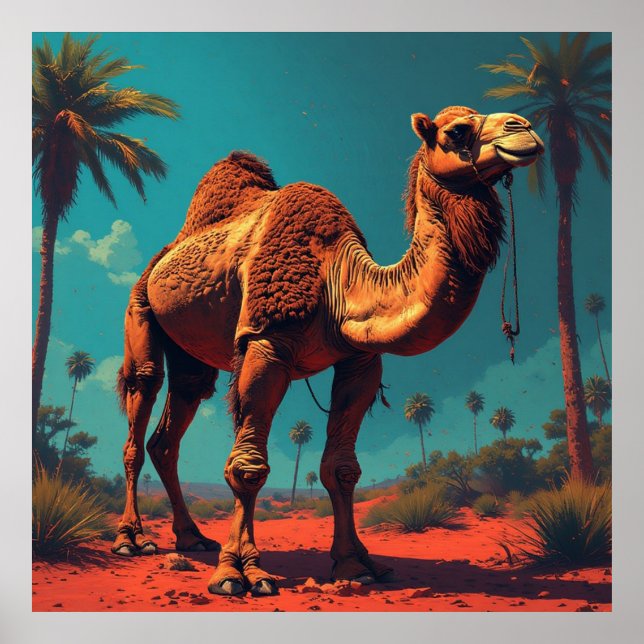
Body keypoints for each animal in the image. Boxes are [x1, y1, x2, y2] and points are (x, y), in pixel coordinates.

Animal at [111, 105, 544, 596]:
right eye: (457, 131)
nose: (525, 128)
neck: (338, 278)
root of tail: (160, 258)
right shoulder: (266, 340)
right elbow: (248, 467)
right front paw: (239, 573)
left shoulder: (359, 360)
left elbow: (341, 468)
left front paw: (357, 565)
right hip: (141, 307)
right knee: (142, 400)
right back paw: (131, 539)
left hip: (191, 353)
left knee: (175, 417)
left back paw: (191, 538)